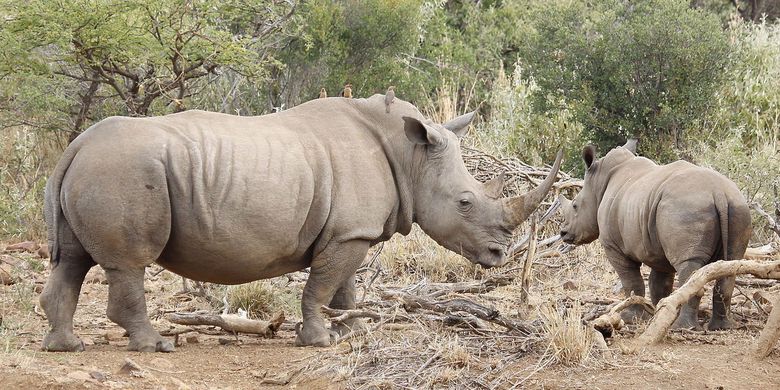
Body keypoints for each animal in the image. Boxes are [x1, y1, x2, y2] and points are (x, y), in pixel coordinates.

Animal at [556, 140, 752, 330]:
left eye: (575, 205)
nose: (563, 233)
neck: (599, 184)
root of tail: (719, 193)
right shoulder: (658, 247)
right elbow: (659, 283)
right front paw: (659, 312)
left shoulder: (613, 246)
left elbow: (631, 282)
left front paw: (630, 318)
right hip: (737, 205)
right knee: (730, 263)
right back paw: (721, 327)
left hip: (686, 208)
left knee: (689, 264)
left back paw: (683, 328)